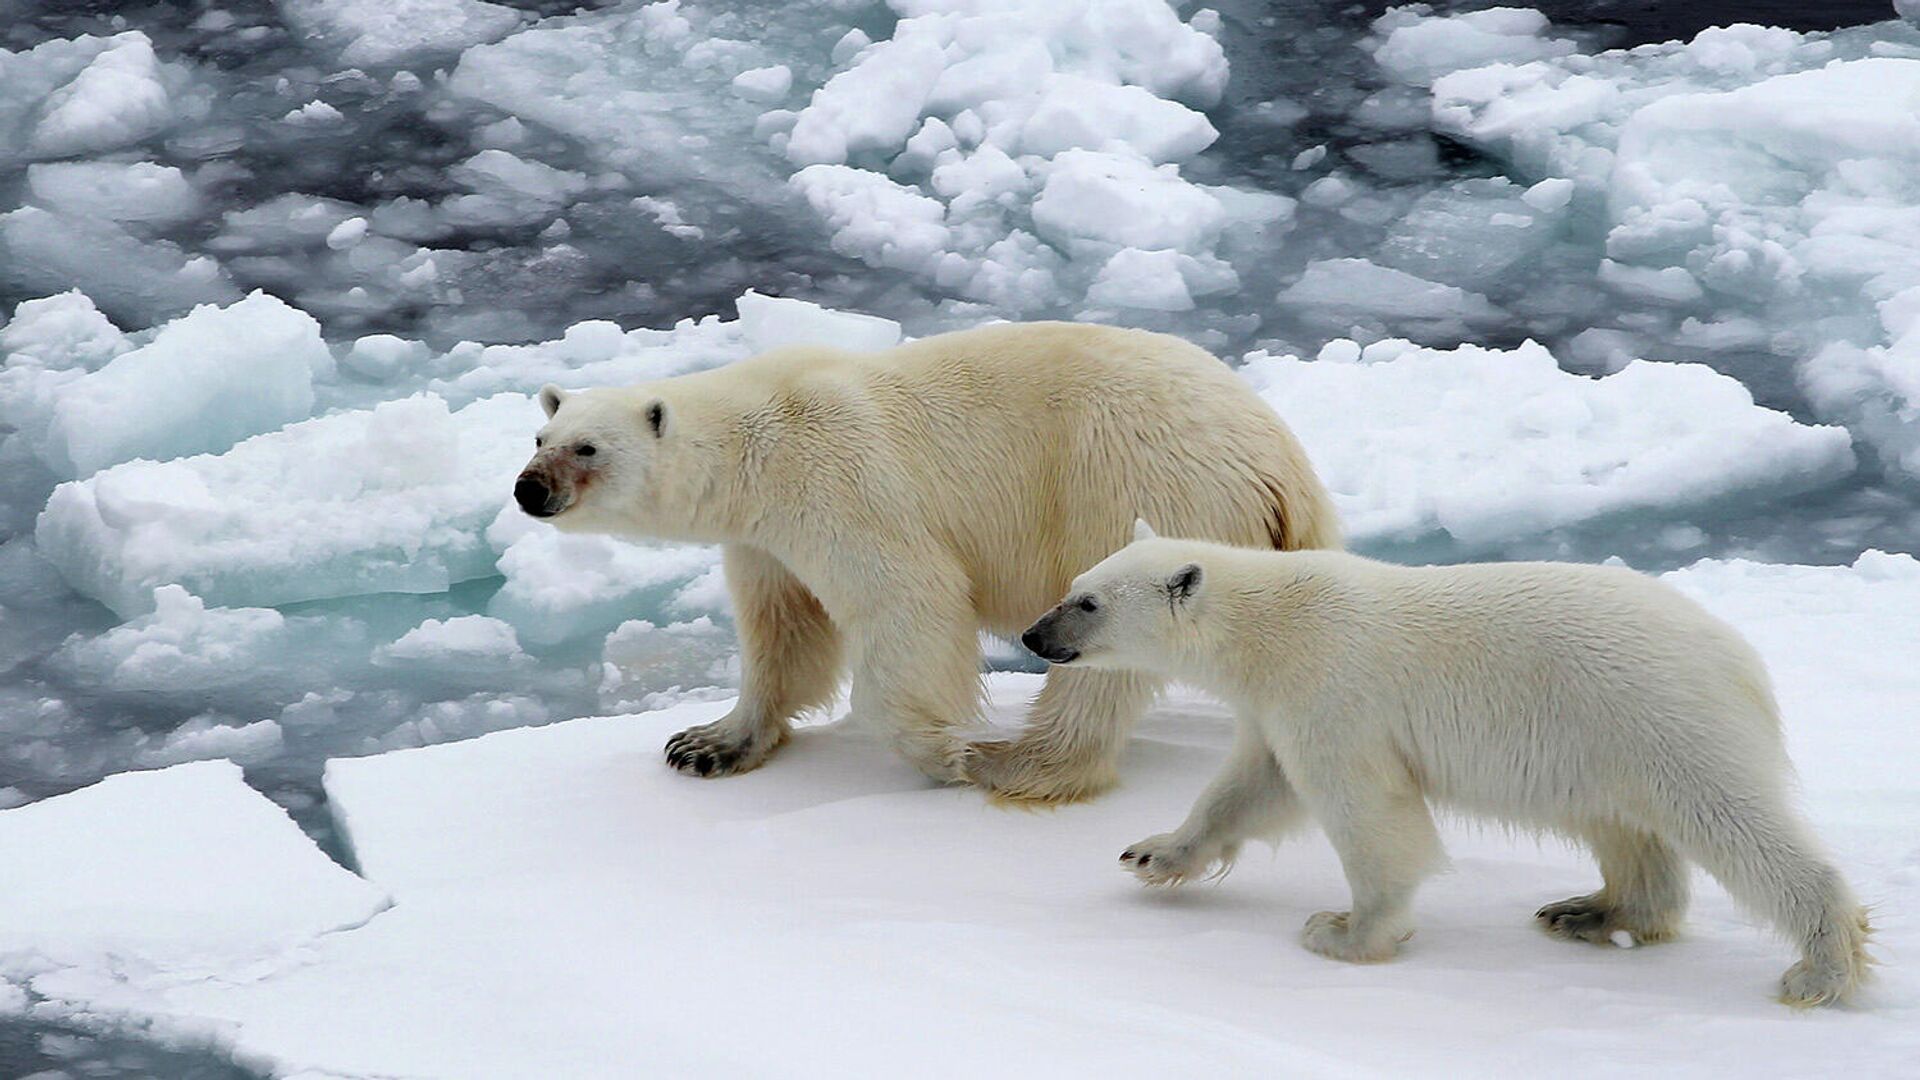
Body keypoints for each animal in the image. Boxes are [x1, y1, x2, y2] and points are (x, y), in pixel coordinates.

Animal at [518, 319, 1344, 799]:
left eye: (588, 448)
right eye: (540, 436)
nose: (530, 490)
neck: (758, 440)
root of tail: (1281, 465)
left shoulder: (842, 480)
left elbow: (908, 603)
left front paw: (944, 752)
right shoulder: (763, 538)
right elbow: (782, 631)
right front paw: (706, 743)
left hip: (1138, 488)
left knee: (1105, 644)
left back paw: (1019, 762)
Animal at [1021, 526, 1873, 1006]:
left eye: (1088, 603)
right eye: (1072, 585)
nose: (1033, 635)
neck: (1269, 624)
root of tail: (1739, 658)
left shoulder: (1332, 688)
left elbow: (1367, 812)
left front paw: (1345, 931)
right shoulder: (1277, 707)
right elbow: (1251, 788)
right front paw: (1152, 853)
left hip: (1658, 716)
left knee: (1734, 823)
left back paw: (1821, 969)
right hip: (1608, 739)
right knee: (1624, 829)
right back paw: (1592, 911)